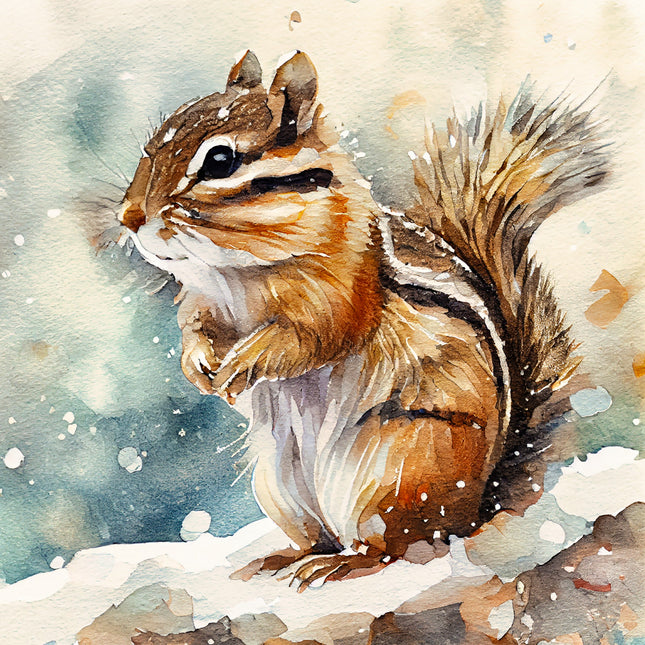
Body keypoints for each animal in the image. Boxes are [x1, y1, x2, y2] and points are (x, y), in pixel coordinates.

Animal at [117, 50, 609, 588]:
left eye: (220, 161)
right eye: (152, 143)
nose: (129, 217)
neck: (236, 271)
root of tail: (479, 505)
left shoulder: (340, 295)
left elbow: (310, 337)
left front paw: (242, 364)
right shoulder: (201, 302)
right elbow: (196, 329)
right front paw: (200, 366)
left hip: (394, 472)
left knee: (394, 547)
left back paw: (339, 565)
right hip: (279, 484)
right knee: (319, 536)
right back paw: (279, 559)